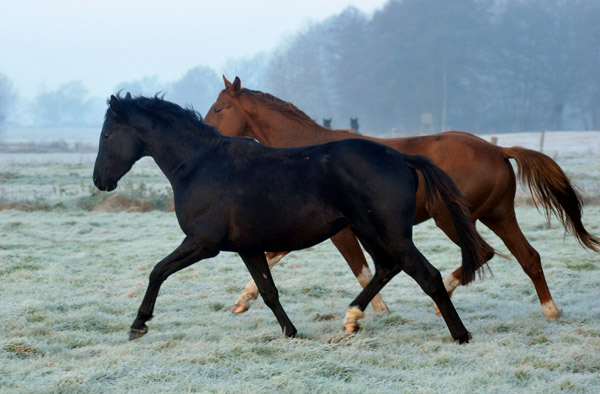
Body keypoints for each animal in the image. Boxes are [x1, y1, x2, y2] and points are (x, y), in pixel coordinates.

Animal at [95, 94, 488, 342]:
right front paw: (291, 332)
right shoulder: (248, 247)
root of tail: (400, 158)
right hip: (369, 231)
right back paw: (352, 318)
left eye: (107, 134)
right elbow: (268, 291)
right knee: (386, 268)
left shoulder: (203, 243)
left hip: (389, 233)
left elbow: (158, 271)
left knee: (427, 275)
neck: (201, 165)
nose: (100, 180)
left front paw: (139, 324)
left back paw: (460, 335)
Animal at [204, 76, 596, 320]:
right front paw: (242, 301)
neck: (307, 153)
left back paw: (443, 298)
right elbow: (272, 257)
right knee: (529, 257)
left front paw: (375, 310)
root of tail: (498, 151)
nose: (207, 133)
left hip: (452, 218)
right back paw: (551, 310)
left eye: (219, 108)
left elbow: (361, 269)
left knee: (483, 253)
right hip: (498, 215)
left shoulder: (340, 231)